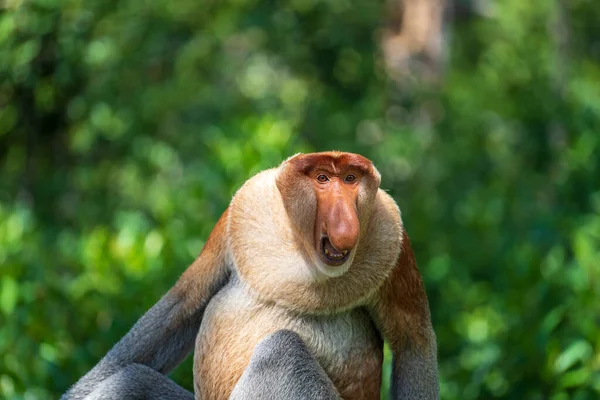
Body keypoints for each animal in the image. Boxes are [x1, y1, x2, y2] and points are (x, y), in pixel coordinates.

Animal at [63, 152, 438, 400]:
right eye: (322, 179)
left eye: (350, 180)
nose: (345, 224)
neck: (301, 249)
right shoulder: (239, 211)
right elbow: (185, 301)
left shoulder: (392, 240)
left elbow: (412, 342)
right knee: (132, 380)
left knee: (281, 350)